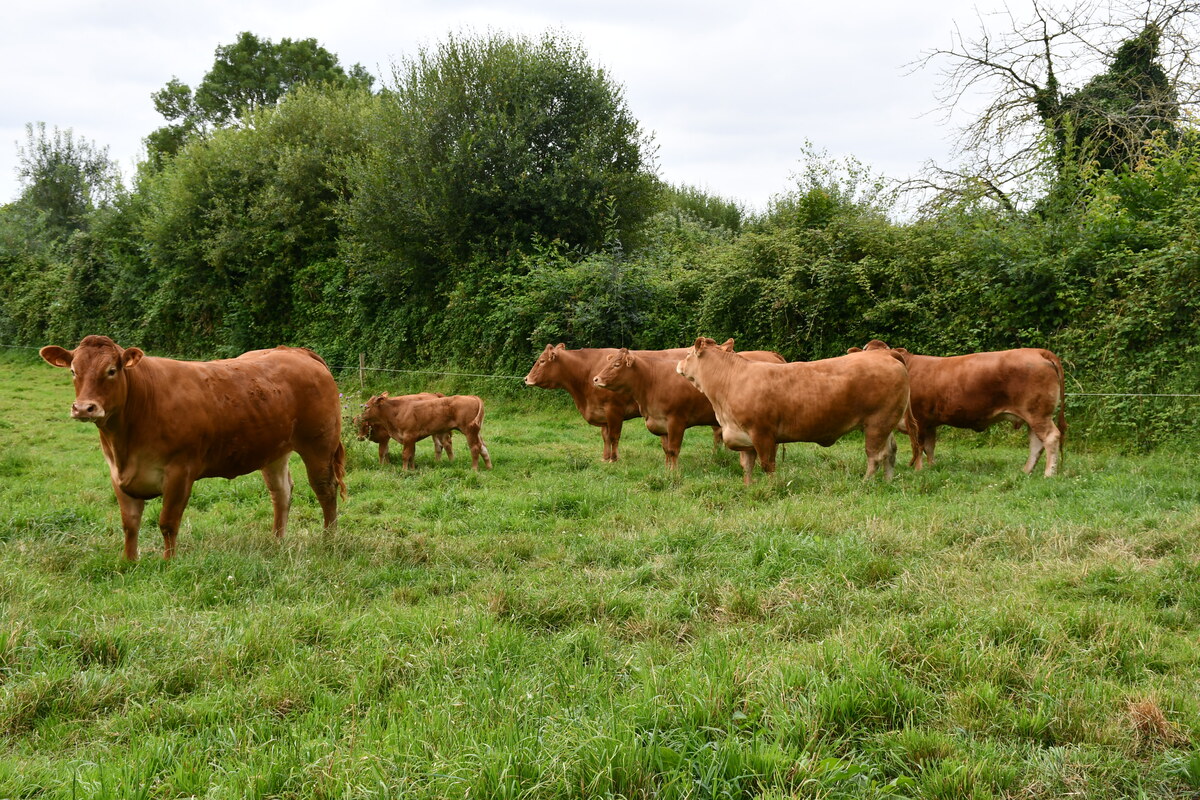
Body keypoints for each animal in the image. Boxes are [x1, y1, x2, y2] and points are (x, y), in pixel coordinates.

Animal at [38, 335, 348, 561]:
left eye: (111, 371)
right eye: (74, 371)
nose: (83, 408)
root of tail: (295, 351)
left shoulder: (180, 471)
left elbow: (167, 521)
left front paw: (168, 563)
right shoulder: (117, 474)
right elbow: (130, 523)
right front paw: (128, 562)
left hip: (319, 444)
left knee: (325, 489)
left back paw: (329, 540)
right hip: (274, 449)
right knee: (281, 492)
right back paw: (277, 541)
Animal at [355, 393, 492, 472]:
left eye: (367, 407)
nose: (360, 417)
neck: (397, 411)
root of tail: (471, 396)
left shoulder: (408, 436)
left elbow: (405, 454)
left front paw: (404, 470)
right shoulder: (411, 438)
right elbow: (411, 454)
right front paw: (412, 469)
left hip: (469, 431)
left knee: (475, 448)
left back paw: (474, 469)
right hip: (476, 431)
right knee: (483, 447)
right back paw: (489, 466)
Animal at [590, 343, 787, 470]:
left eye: (616, 365)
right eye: (608, 362)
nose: (596, 379)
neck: (652, 381)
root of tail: (773, 355)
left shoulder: (676, 420)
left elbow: (673, 449)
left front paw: (674, 473)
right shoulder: (661, 422)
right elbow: (666, 450)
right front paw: (666, 470)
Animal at [849, 340, 1065, 474]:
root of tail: (1038, 351)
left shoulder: (919, 420)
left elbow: (919, 446)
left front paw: (919, 470)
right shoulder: (930, 423)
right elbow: (930, 447)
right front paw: (932, 467)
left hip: (1038, 413)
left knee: (1051, 438)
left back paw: (1048, 473)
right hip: (1033, 416)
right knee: (1037, 443)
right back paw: (1026, 471)